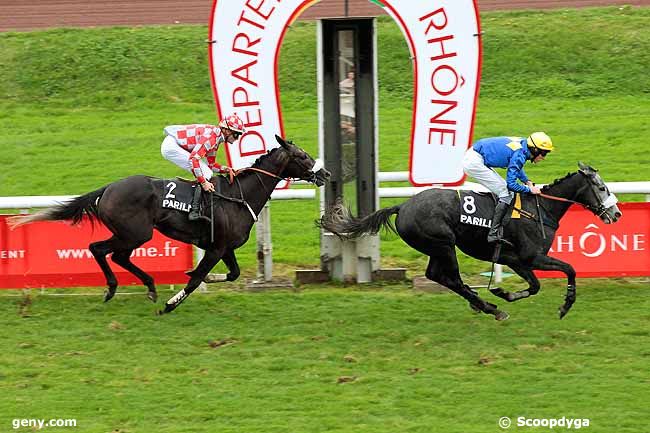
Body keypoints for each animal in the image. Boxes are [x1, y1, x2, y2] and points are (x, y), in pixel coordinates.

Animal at [12, 133, 330, 312]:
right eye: (302, 156)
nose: (325, 173)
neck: (238, 196)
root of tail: (108, 189)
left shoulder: (225, 247)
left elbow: (231, 274)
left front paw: (197, 278)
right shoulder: (216, 248)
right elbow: (197, 278)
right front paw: (171, 304)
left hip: (133, 235)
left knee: (116, 255)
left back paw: (149, 287)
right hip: (135, 233)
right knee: (100, 249)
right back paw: (116, 288)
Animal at [322, 164, 620, 318]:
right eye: (601, 187)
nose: (616, 213)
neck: (540, 209)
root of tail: (402, 206)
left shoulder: (515, 259)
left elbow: (535, 286)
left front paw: (504, 292)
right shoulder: (532, 257)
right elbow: (570, 269)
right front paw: (565, 305)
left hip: (436, 248)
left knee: (437, 276)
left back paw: (482, 302)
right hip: (443, 244)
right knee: (450, 278)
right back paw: (487, 307)